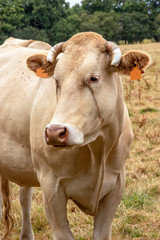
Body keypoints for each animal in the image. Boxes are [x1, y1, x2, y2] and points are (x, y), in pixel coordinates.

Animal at [0, 32, 150, 240]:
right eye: (56, 80)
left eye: (94, 78)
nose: (55, 132)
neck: (97, 152)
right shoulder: (51, 189)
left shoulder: (116, 186)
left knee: (24, 196)